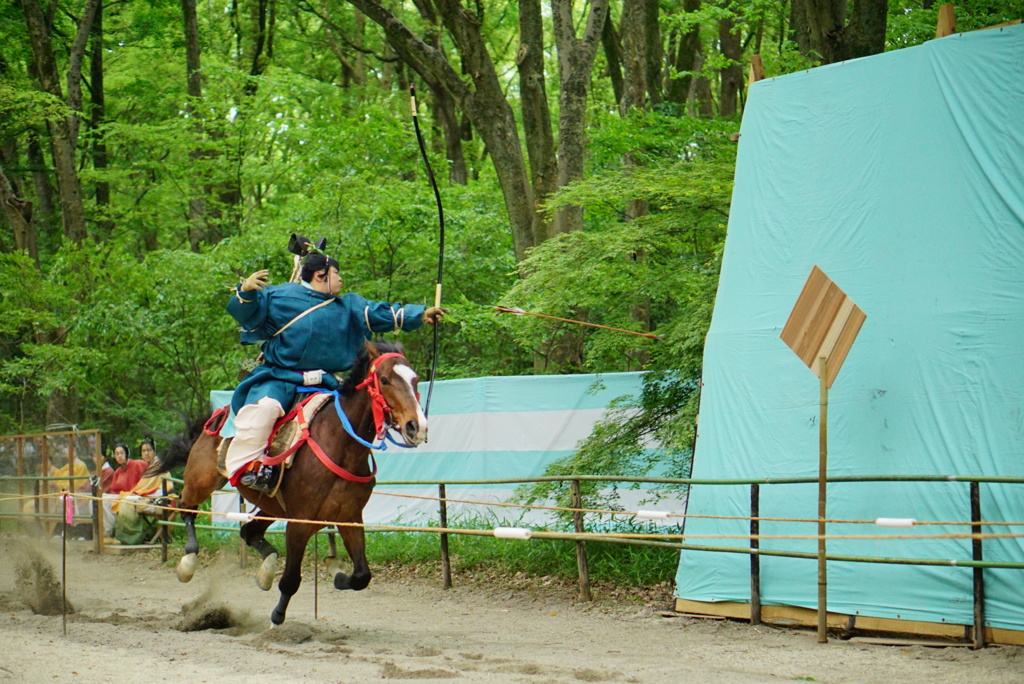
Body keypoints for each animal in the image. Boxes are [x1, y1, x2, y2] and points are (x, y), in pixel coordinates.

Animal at [150, 339, 423, 626]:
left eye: (415, 379)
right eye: (385, 379)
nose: (416, 426)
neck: (341, 445)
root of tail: (217, 416)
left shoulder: (349, 517)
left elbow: (361, 576)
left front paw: (337, 574)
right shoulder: (300, 522)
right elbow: (291, 580)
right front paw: (277, 619)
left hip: (271, 506)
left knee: (249, 531)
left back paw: (265, 570)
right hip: (201, 480)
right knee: (186, 507)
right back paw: (188, 562)